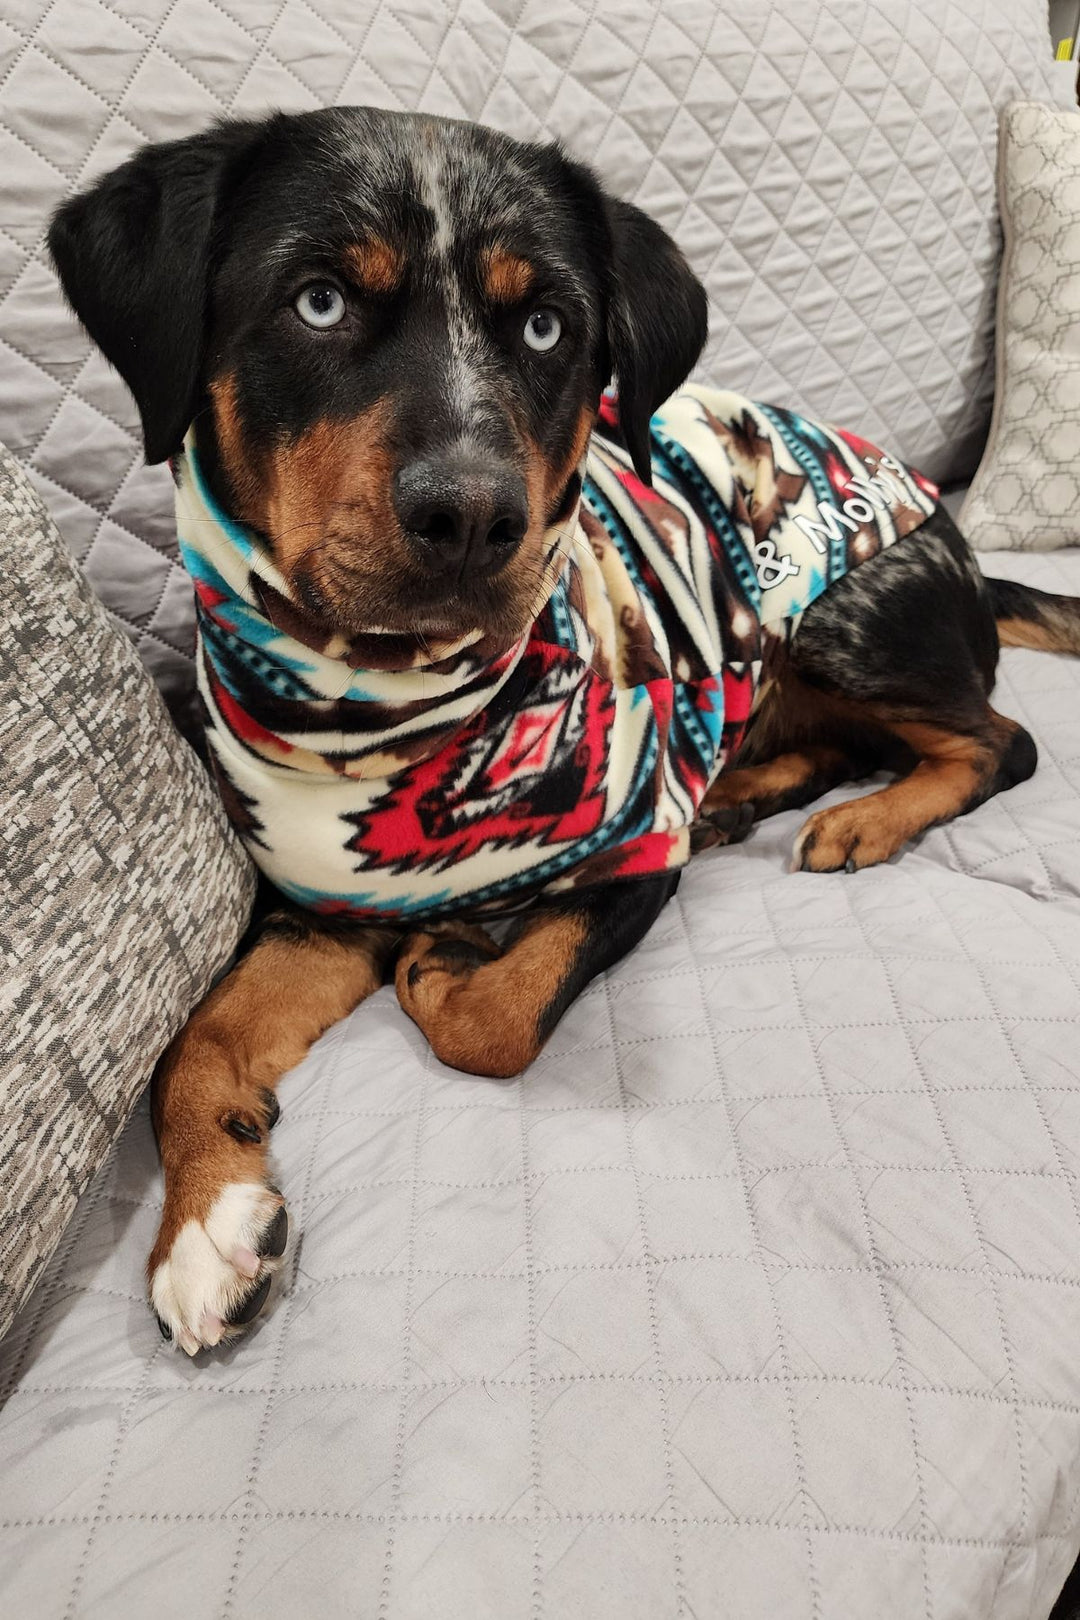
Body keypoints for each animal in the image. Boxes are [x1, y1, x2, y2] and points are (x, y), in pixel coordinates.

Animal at [46, 104, 1080, 1354]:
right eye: (318, 302)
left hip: (841, 612)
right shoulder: (319, 907)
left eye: (546, 326)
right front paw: (205, 1225)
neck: (393, 719)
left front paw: (448, 961)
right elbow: (190, 1044)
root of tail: (955, 535)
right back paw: (754, 796)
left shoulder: (635, 850)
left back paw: (868, 821)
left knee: (996, 741)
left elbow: (493, 1020)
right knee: (847, 741)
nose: (471, 515)